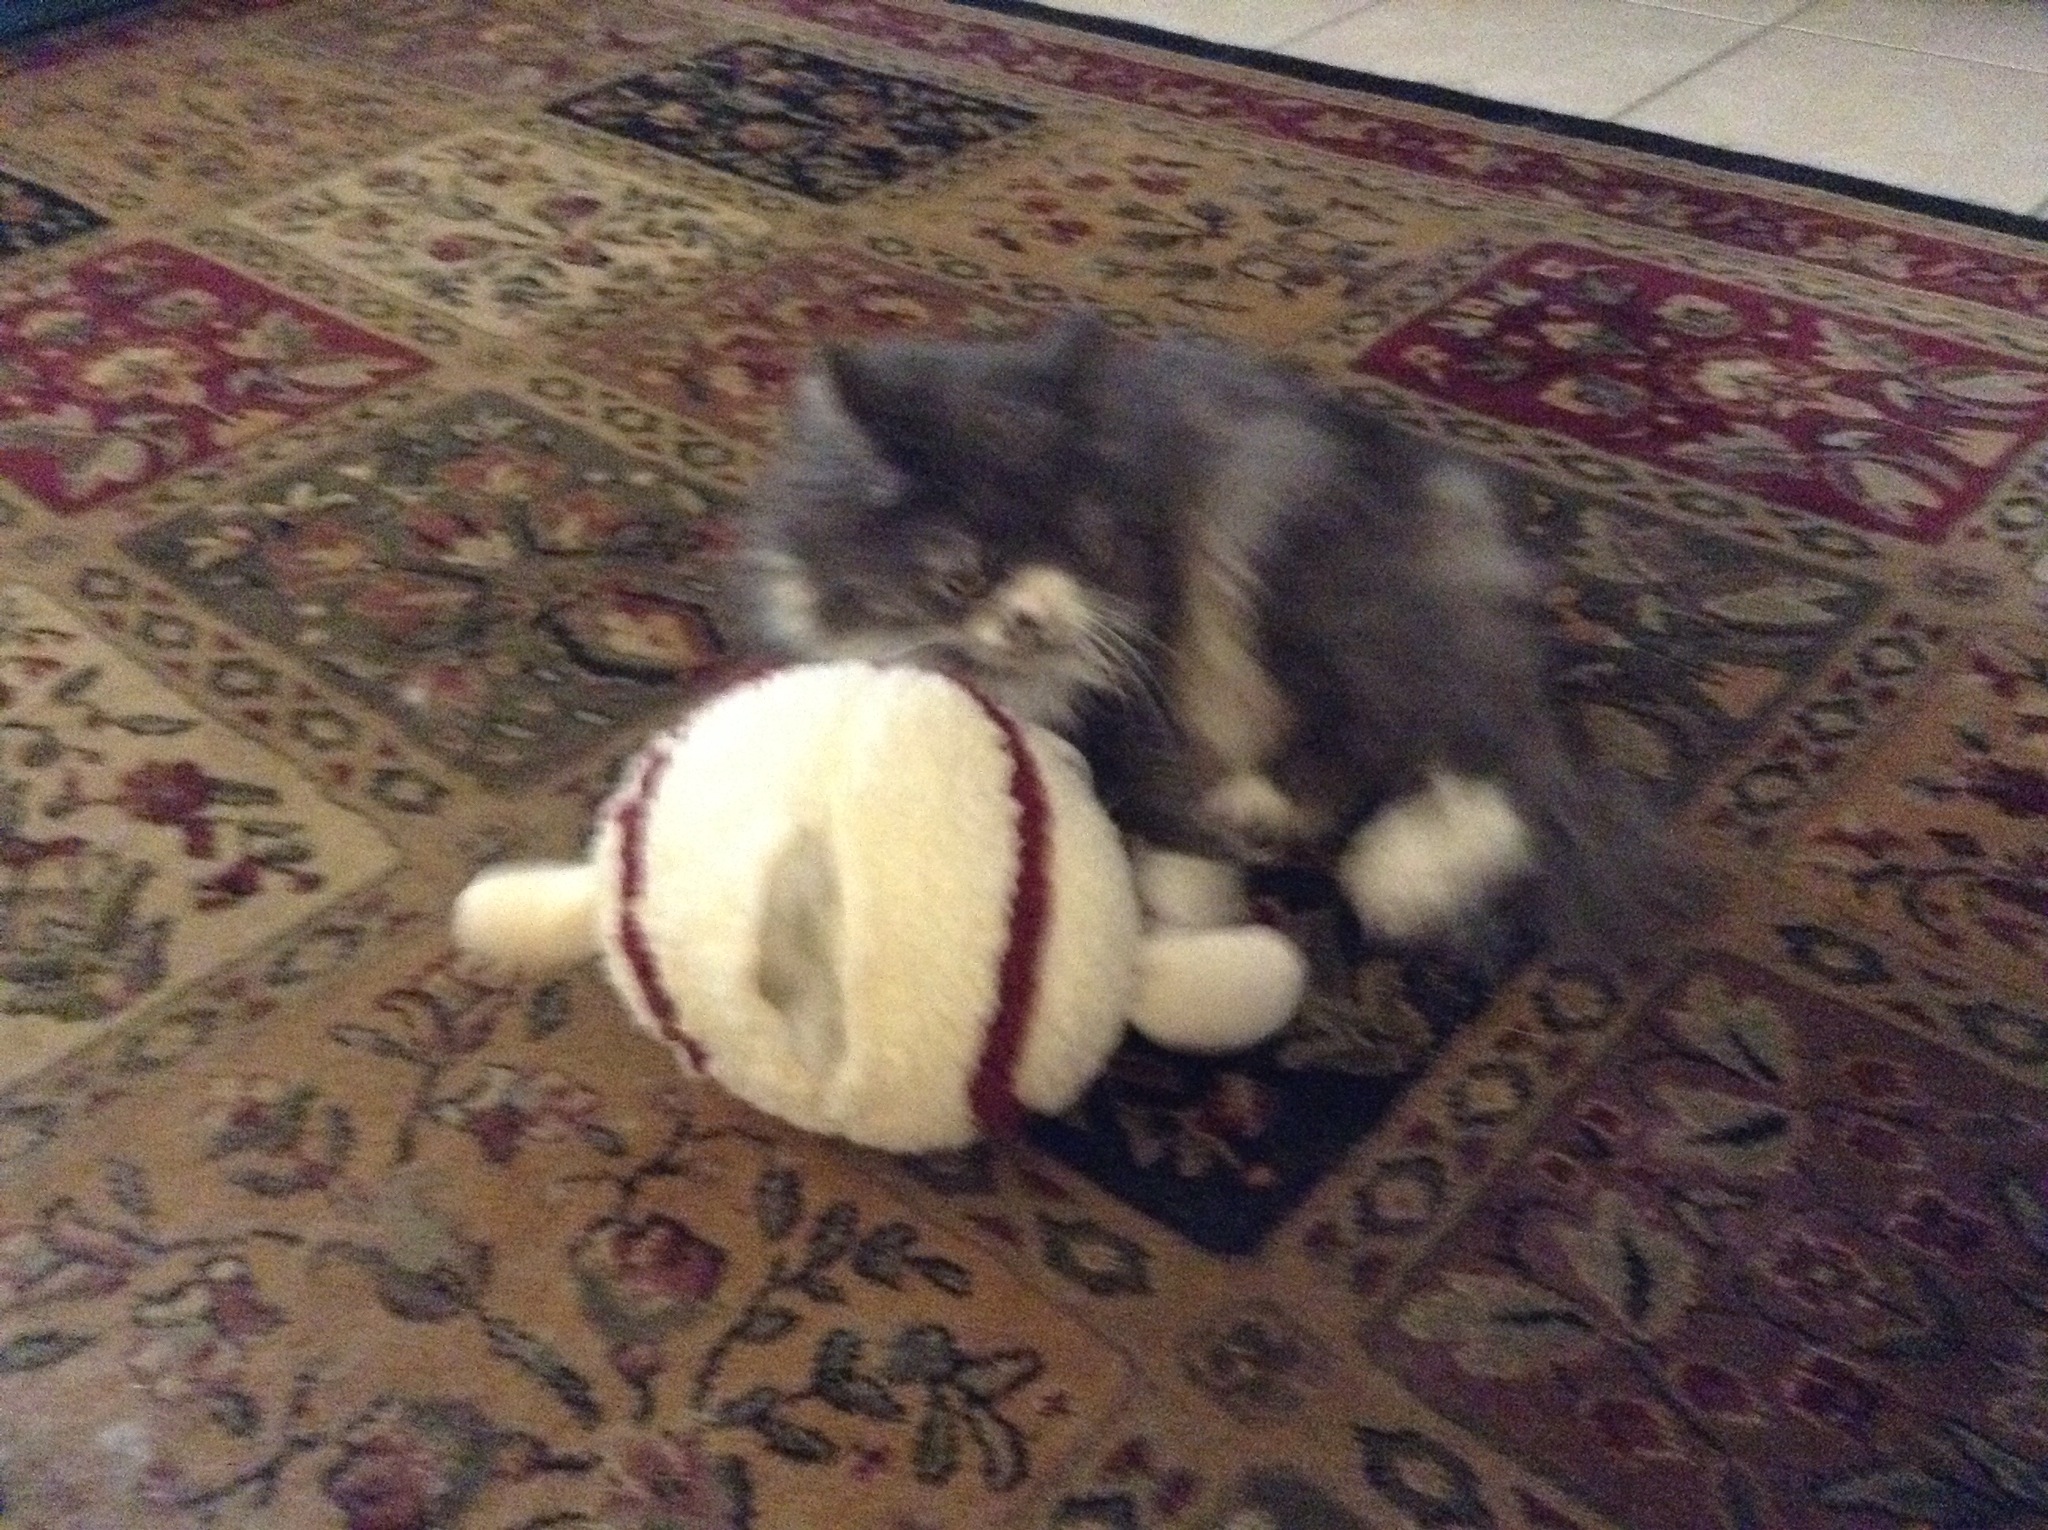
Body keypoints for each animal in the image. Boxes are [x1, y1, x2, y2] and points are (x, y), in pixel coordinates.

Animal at [732, 308, 1700, 969]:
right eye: (962, 577)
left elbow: (1155, 802)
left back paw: (1383, 874)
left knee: (1480, 760)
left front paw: (1187, 912)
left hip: (1288, 573)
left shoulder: (1143, 676)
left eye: (1076, 547)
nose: (1036, 614)